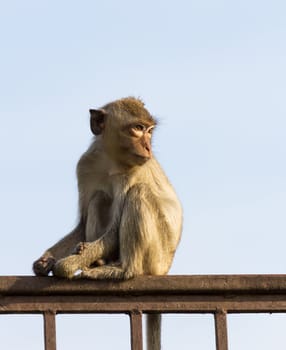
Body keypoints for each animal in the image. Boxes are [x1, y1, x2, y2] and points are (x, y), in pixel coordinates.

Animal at [32, 95, 182, 350]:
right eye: (137, 128)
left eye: (149, 130)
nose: (148, 147)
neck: (111, 160)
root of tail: (164, 270)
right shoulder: (85, 164)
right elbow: (82, 225)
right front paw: (45, 260)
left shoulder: (132, 172)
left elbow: (113, 231)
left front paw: (65, 266)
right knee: (99, 198)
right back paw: (100, 260)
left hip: (156, 256)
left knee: (138, 193)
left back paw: (121, 269)